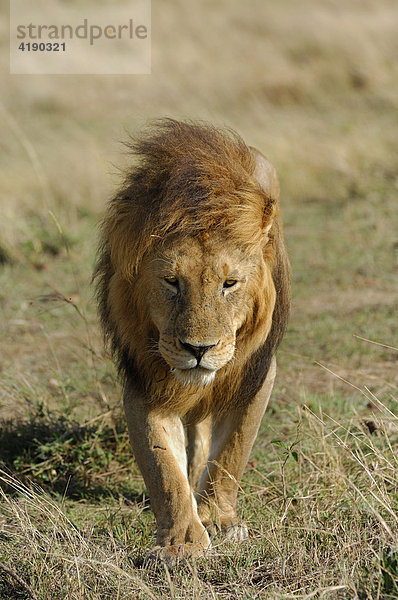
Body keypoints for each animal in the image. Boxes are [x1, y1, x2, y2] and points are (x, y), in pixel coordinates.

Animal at [95, 119, 290, 564]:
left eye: (229, 283)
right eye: (171, 281)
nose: (198, 350)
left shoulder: (257, 373)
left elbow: (232, 452)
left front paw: (219, 520)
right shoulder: (145, 381)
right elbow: (163, 468)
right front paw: (182, 542)